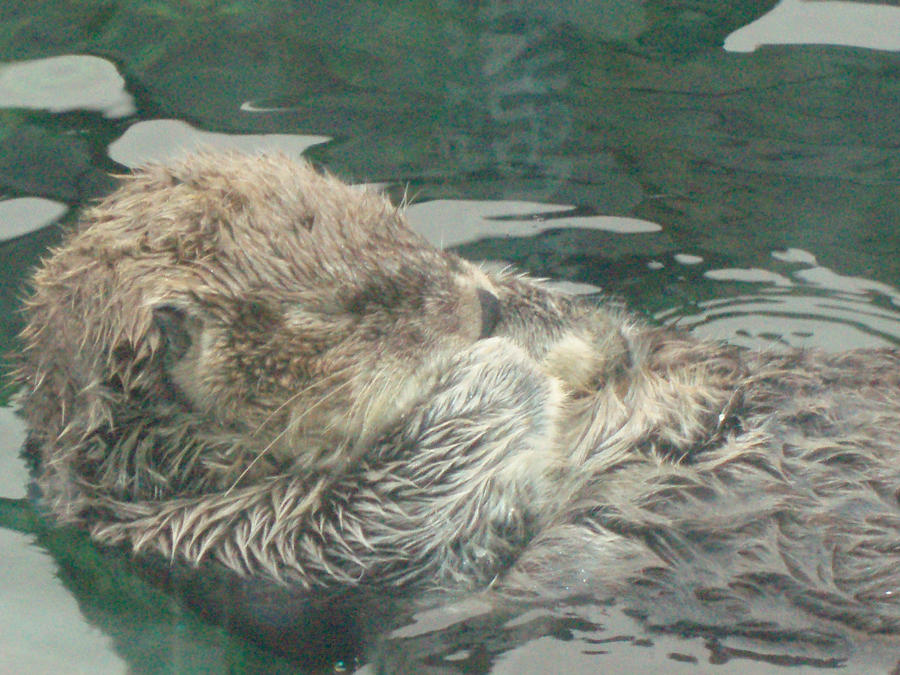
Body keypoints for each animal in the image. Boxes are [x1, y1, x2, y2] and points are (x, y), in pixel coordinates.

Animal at [10, 152, 900, 640]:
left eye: (412, 236)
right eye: (358, 306)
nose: (483, 307)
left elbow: (630, 344)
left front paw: (561, 322)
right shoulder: (241, 545)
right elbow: (400, 517)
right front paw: (503, 366)